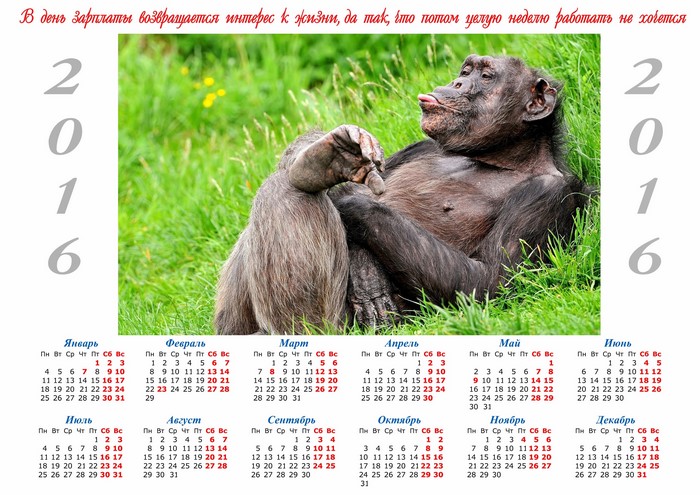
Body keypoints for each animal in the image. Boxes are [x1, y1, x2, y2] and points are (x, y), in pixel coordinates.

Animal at [215, 54, 590, 334]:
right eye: (466, 72)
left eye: (486, 77)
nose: (457, 83)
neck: (494, 158)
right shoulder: (421, 146)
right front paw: (336, 156)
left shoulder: (546, 195)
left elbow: (487, 282)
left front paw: (353, 209)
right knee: (287, 183)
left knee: (288, 193)